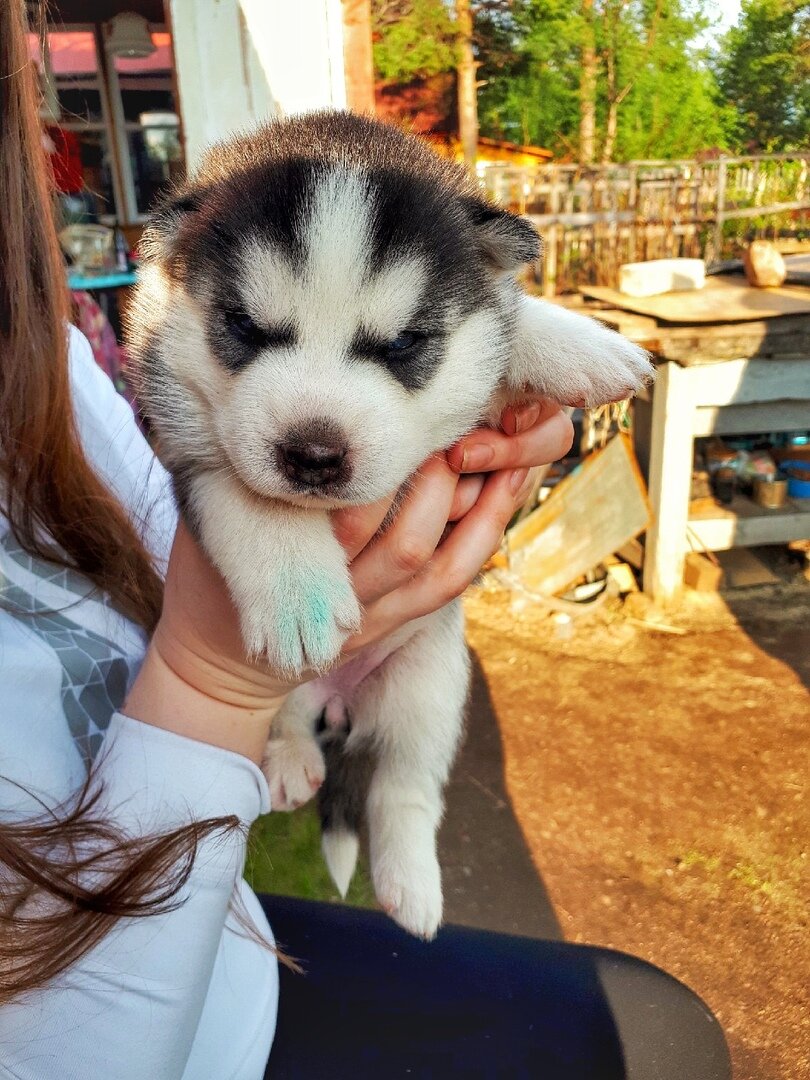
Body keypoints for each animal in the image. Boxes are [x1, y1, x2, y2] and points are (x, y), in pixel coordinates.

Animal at [130, 107, 656, 937]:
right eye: (243, 324)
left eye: (403, 342)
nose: (312, 454)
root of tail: (339, 700)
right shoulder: (180, 438)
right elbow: (250, 495)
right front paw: (298, 592)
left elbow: (504, 321)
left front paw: (580, 343)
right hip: (315, 693)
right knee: (291, 726)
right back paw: (290, 759)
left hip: (429, 682)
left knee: (404, 789)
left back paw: (411, 882)